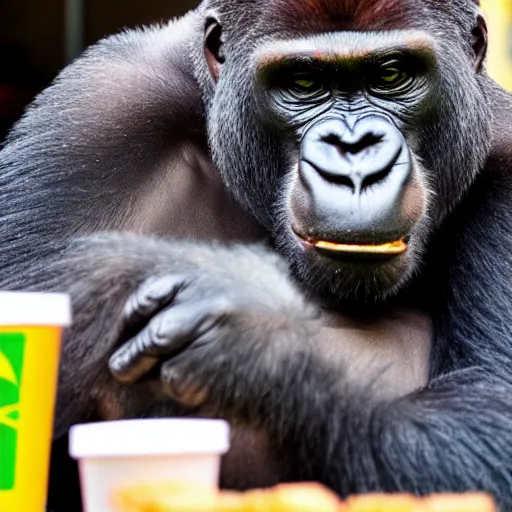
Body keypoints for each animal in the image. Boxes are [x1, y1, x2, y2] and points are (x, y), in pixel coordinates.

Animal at [1, 0, 512, 510]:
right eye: (303, 83)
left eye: (391, 75)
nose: (354, 162)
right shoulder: (100, 109)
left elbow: (490, 404)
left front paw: (258, 337)